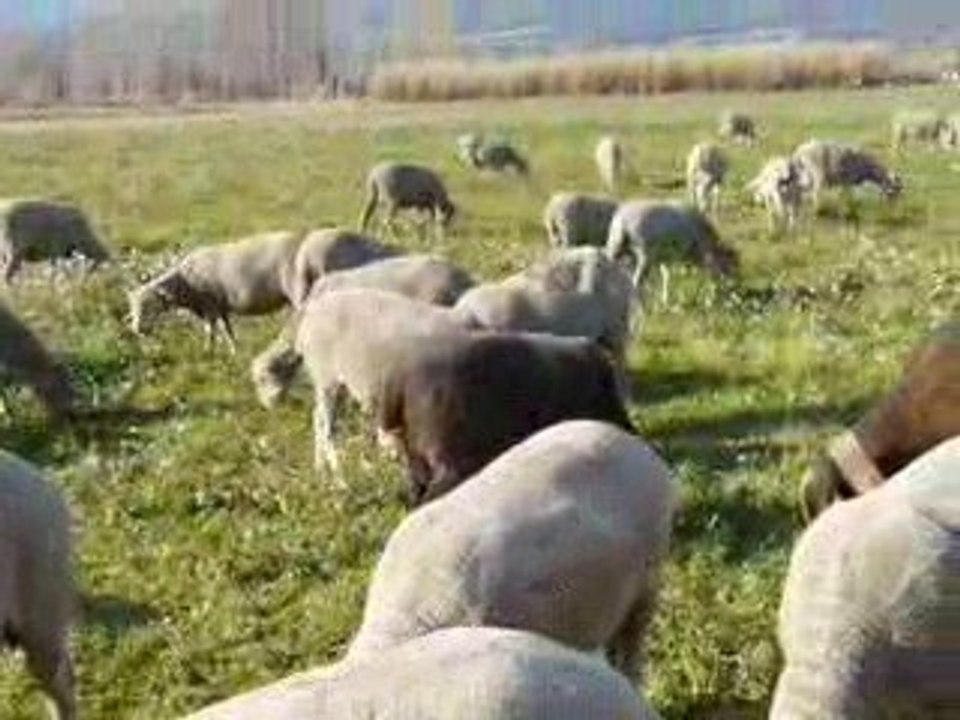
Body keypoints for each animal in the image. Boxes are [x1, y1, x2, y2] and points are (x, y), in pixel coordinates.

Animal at [127, 230, 303, 352]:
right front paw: (234, 350)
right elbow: (226, 330)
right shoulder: (220, 307)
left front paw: (208, 352)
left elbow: (209, 331)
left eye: (149, 307)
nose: (137, 330)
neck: (185, 283)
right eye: (132, 308)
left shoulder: (209, 306)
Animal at [250, 289, 468, 476]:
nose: (267, 405)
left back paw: (322, 470)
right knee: (325, 425)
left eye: (263, 378)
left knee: (320, 419)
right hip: (327, 377)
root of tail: (310, 313)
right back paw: (339, 477)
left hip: (337, 383)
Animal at [376, 331, 635, 504]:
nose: (634, 432)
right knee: (432, 492)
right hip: (447, 455)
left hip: (417, 454)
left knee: (417, 487)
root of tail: (401, 378)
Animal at [605, 200, 739, 305]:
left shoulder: (667, 257)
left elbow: (666, 275)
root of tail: (623, 221)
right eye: (731, 266)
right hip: (645, 255)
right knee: (636, 281)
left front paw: (665, 300)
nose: (735, 287)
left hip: (616, 245)